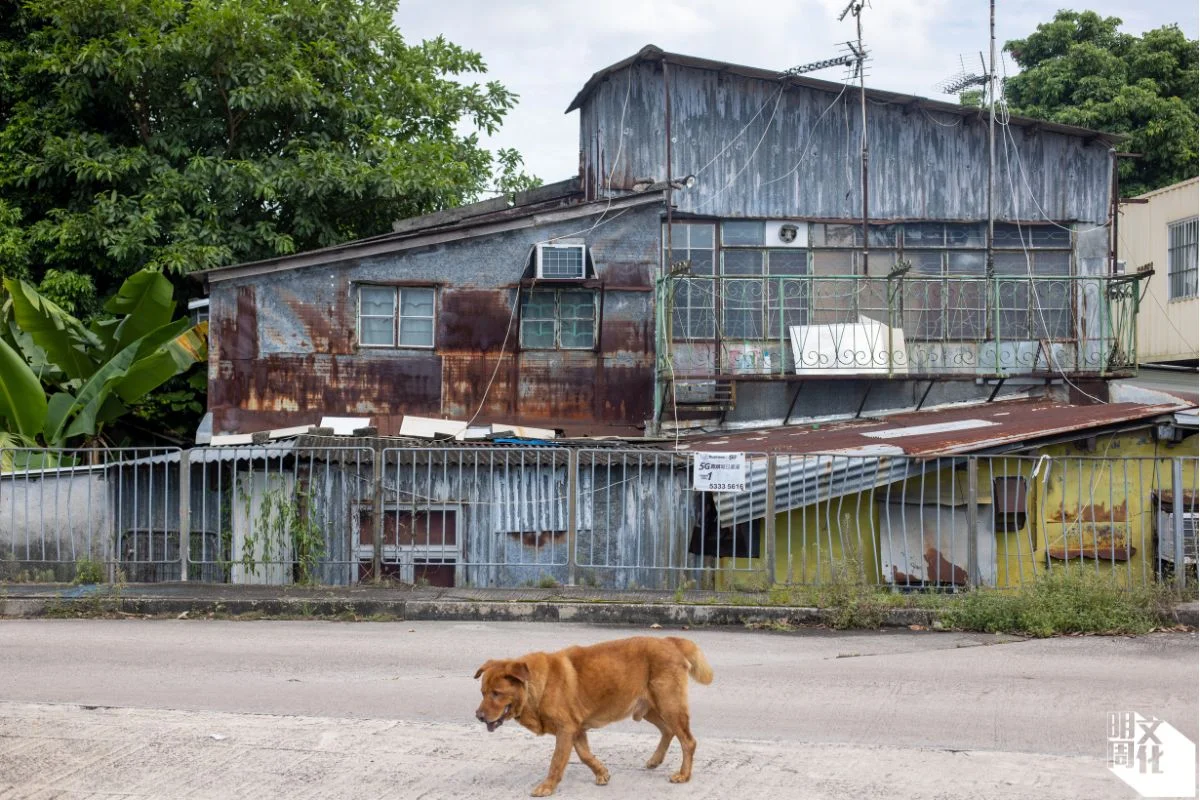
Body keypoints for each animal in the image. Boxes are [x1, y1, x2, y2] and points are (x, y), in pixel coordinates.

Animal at [472, 633, 710, 796]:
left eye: (496, 693)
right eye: (482, 692)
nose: (479, 716)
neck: (537, 687)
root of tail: (670, 640)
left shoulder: (566, 730)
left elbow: (557, 761)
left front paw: (547, 786)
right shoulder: (576, 730)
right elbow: (585, 755)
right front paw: (601, 772)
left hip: (669, 705)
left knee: (688, 741)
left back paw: (684, 775)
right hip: (649, 708)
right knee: (668, 731)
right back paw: (655, 760)